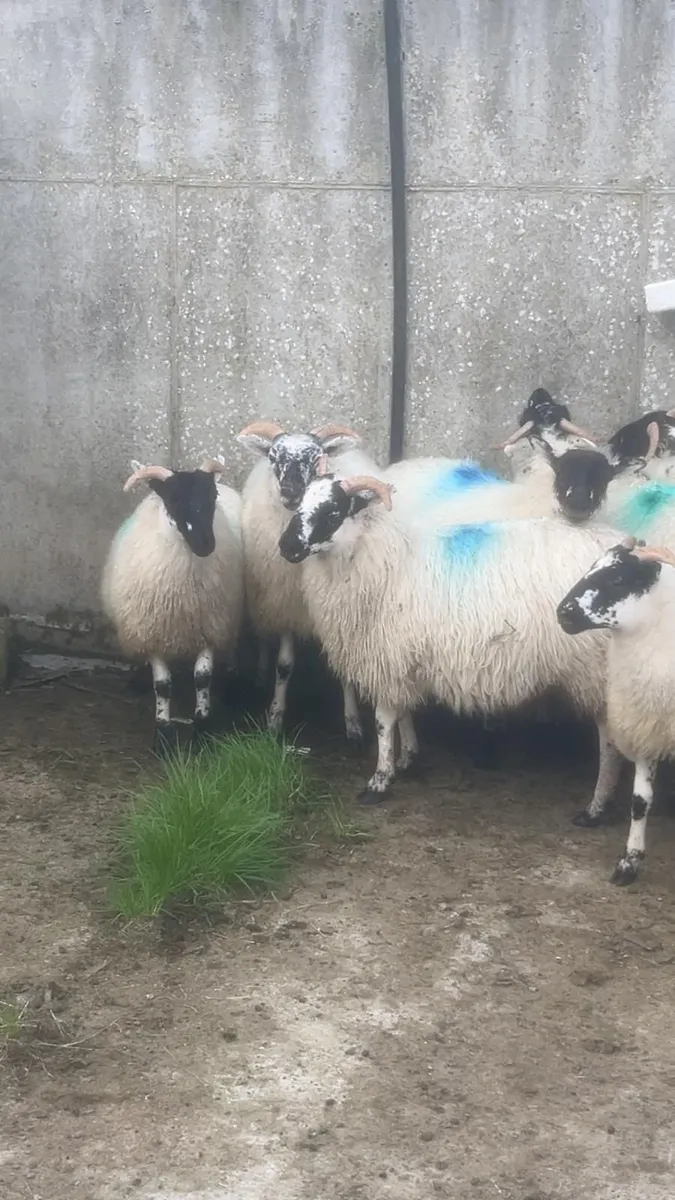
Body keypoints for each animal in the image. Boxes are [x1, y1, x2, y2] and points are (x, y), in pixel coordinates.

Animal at [101, 458, 243, 754]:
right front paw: (163, 734)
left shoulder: (209, 628)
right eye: (174, 498)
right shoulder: (153, 631)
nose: (205, 545)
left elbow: (202, 678)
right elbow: (163, 685)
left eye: (212, 496)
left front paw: (202, 728)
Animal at [236, 419, 383, 743]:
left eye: (317, 457)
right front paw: (275, 717)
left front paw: (353, 721)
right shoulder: (288, 604)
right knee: (265, 633)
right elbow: (284, 666)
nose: (290, 491)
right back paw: (260, 674)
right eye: (274, 456)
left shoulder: (338, 614)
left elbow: (344, 668)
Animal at [278, 471, 625, 812]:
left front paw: (379, 781)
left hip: (595, 668)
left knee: (608, 737)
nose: (285, 546)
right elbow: (404, 711)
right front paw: (408, 757)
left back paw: (597, 805)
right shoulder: (403, 658)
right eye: (301, 504)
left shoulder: (387, 656)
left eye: (332, 511)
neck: (385, 561)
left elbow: (383, 720)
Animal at [557, 537, 675, 885]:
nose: (563, 613)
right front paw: (628, 863)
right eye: (591, 567)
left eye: (619, 579)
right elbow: (640, 802)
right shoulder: (647, 726)